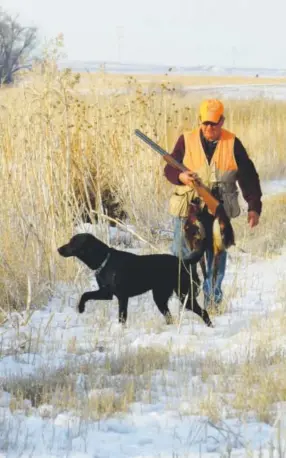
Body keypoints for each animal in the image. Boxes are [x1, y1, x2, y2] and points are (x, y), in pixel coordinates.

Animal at [57, 234, 212, 328]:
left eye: (73, 242)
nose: (58, 249)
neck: (105, 261)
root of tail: (184, 261)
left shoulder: (122, 297)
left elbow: (122, 317)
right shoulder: (106, 293)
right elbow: (86, 294)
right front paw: (81, 308)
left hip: (184, 295)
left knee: (203, 311)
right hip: (161, 297)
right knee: (170, 317)